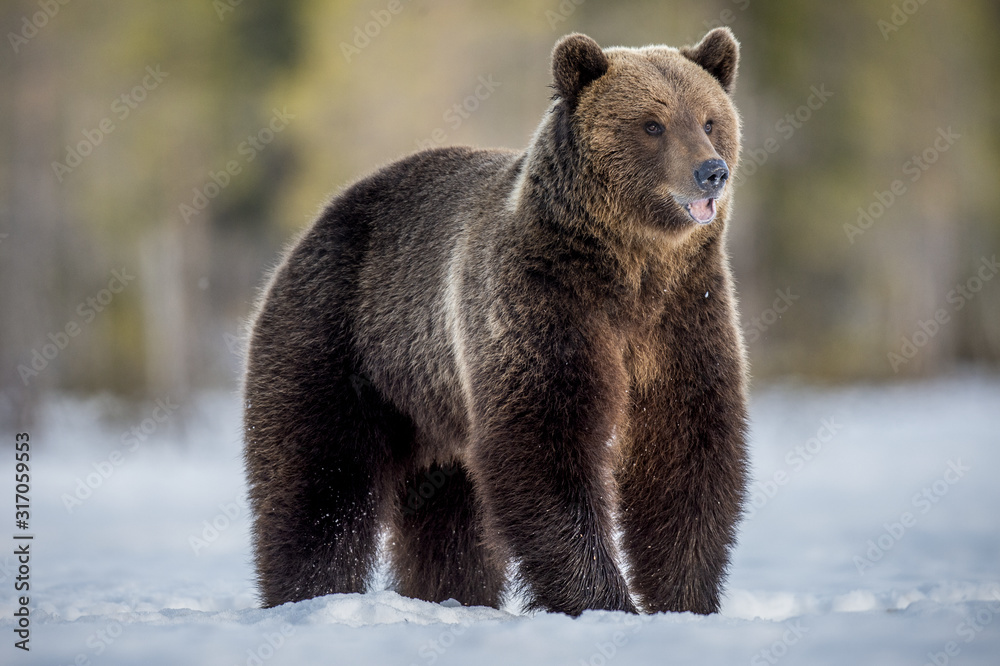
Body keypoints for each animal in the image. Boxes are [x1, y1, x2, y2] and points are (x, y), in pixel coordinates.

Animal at [243, 28, 748, 616]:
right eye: (652, 124)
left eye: (709, 120)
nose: (711, 172)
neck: (629, 270)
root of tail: (315, 224)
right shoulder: (542, 300)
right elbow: (544, 443)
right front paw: (603, 598)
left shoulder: (682, 316)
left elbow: (687, 445)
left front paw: (684, 597)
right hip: (340, 338)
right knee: (319, 483)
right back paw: (310, 594)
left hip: (436, 404)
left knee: (451, 522)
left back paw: (452, 596)